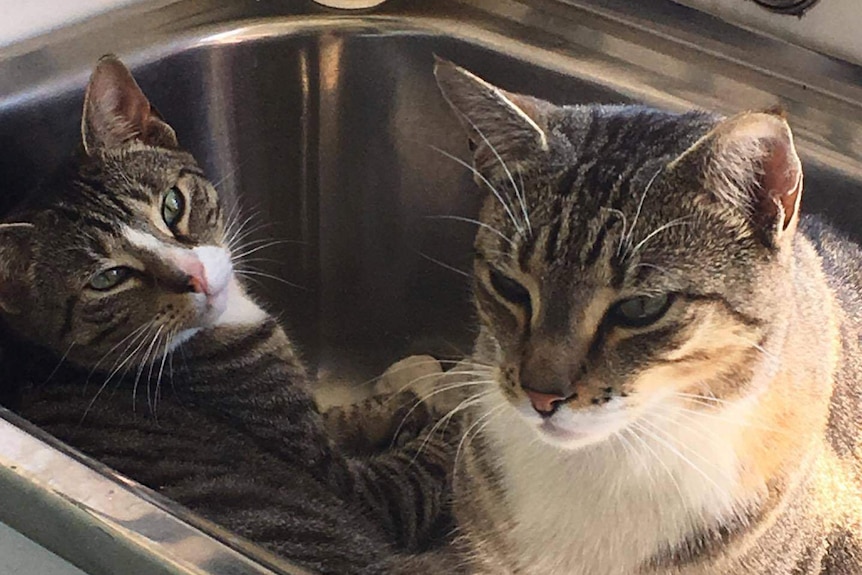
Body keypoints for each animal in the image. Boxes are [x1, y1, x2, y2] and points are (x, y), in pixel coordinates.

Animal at [0, 55, 456, 575]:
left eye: (172, 204)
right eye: (107, 278)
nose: (195, 276)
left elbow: (336, 416)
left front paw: (397, 404)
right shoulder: (360, 491)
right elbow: (423, 463)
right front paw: (452, 409)